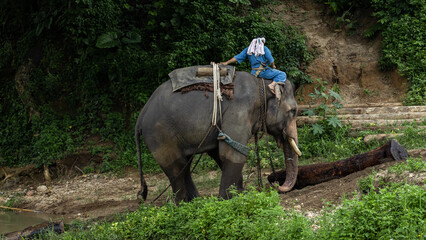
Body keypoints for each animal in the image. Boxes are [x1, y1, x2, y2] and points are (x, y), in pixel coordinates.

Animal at [135, 70, 302, 202]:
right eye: (293, 111)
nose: (278, 186)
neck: (261, 84)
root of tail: (141, 115)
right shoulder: (238, 112)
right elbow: (232, 153)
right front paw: (227, 200)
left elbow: (218, 152)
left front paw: (238, 195)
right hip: (160, 137)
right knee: (175, 168)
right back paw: (182, 204)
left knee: (185, 165)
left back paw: (195, 201)